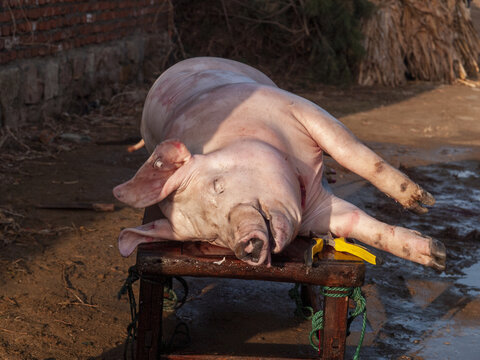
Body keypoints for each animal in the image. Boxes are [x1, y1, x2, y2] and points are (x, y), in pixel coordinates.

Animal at [112, 57, 446, 270]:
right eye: (211, 235)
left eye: (218, 186)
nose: (245, 245)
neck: (304, 184)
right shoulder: (319, 214)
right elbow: (358, 224)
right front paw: (438, 256)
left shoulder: (300, 109)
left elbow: (351, 152)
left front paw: (424, 204)